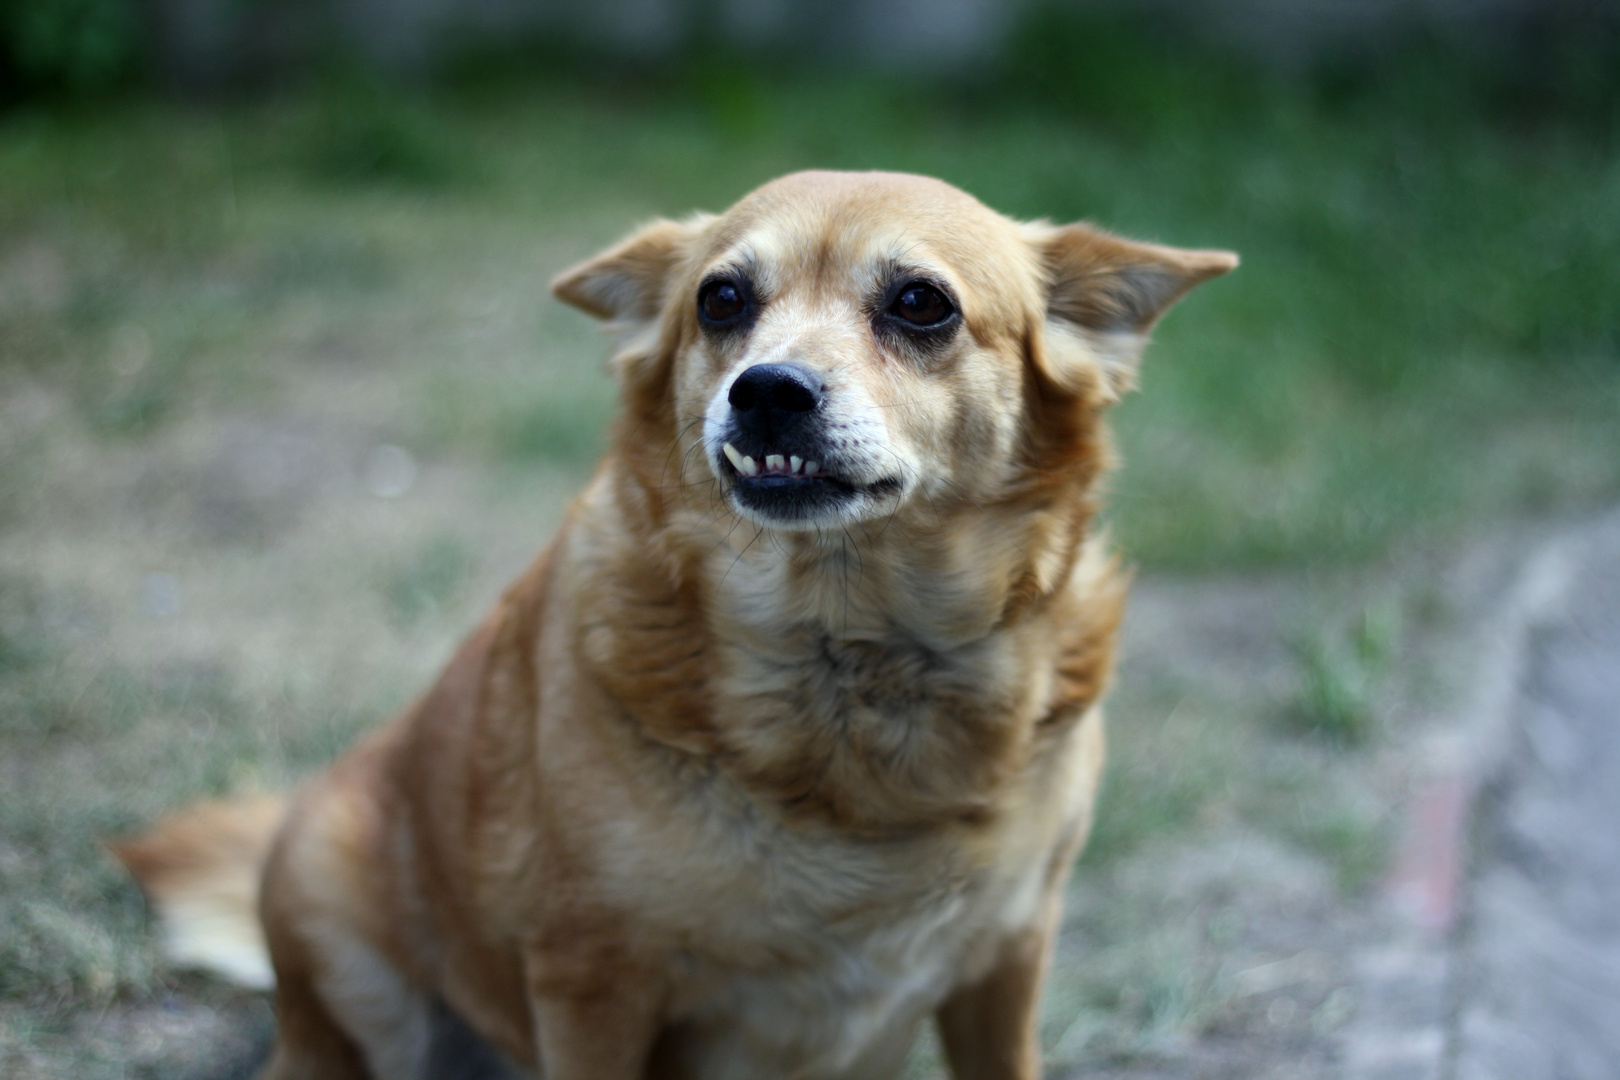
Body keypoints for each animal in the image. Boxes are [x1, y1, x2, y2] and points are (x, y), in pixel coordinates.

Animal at [119, 173, 1231, 1075]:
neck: (849, 663)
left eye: (922, 303)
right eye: (721, 299)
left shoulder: (1007, 959)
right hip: (332, 906)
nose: (768, 391)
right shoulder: (591, 981)